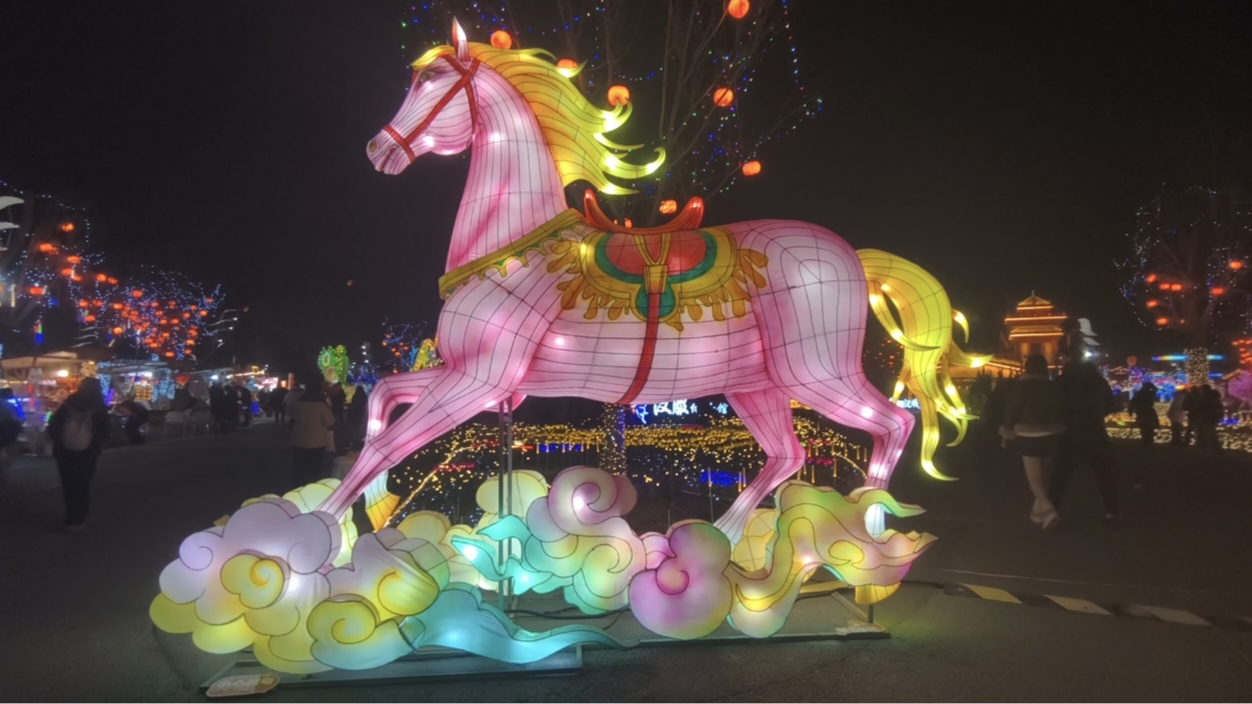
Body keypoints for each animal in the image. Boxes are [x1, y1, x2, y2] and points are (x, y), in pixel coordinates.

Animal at [321, 21, 986, 541]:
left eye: (432, 80)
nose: (378, 149)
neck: (513, 245)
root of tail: (850, 252)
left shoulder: (478, 379)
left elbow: (382, 443)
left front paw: (319, 536)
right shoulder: (476, 379)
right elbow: (380, 399)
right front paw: (375, 509)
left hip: (816, 371)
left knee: (894, 423)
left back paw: (869, 532)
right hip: (753, 384)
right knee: (788, 453)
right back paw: (718, 541)